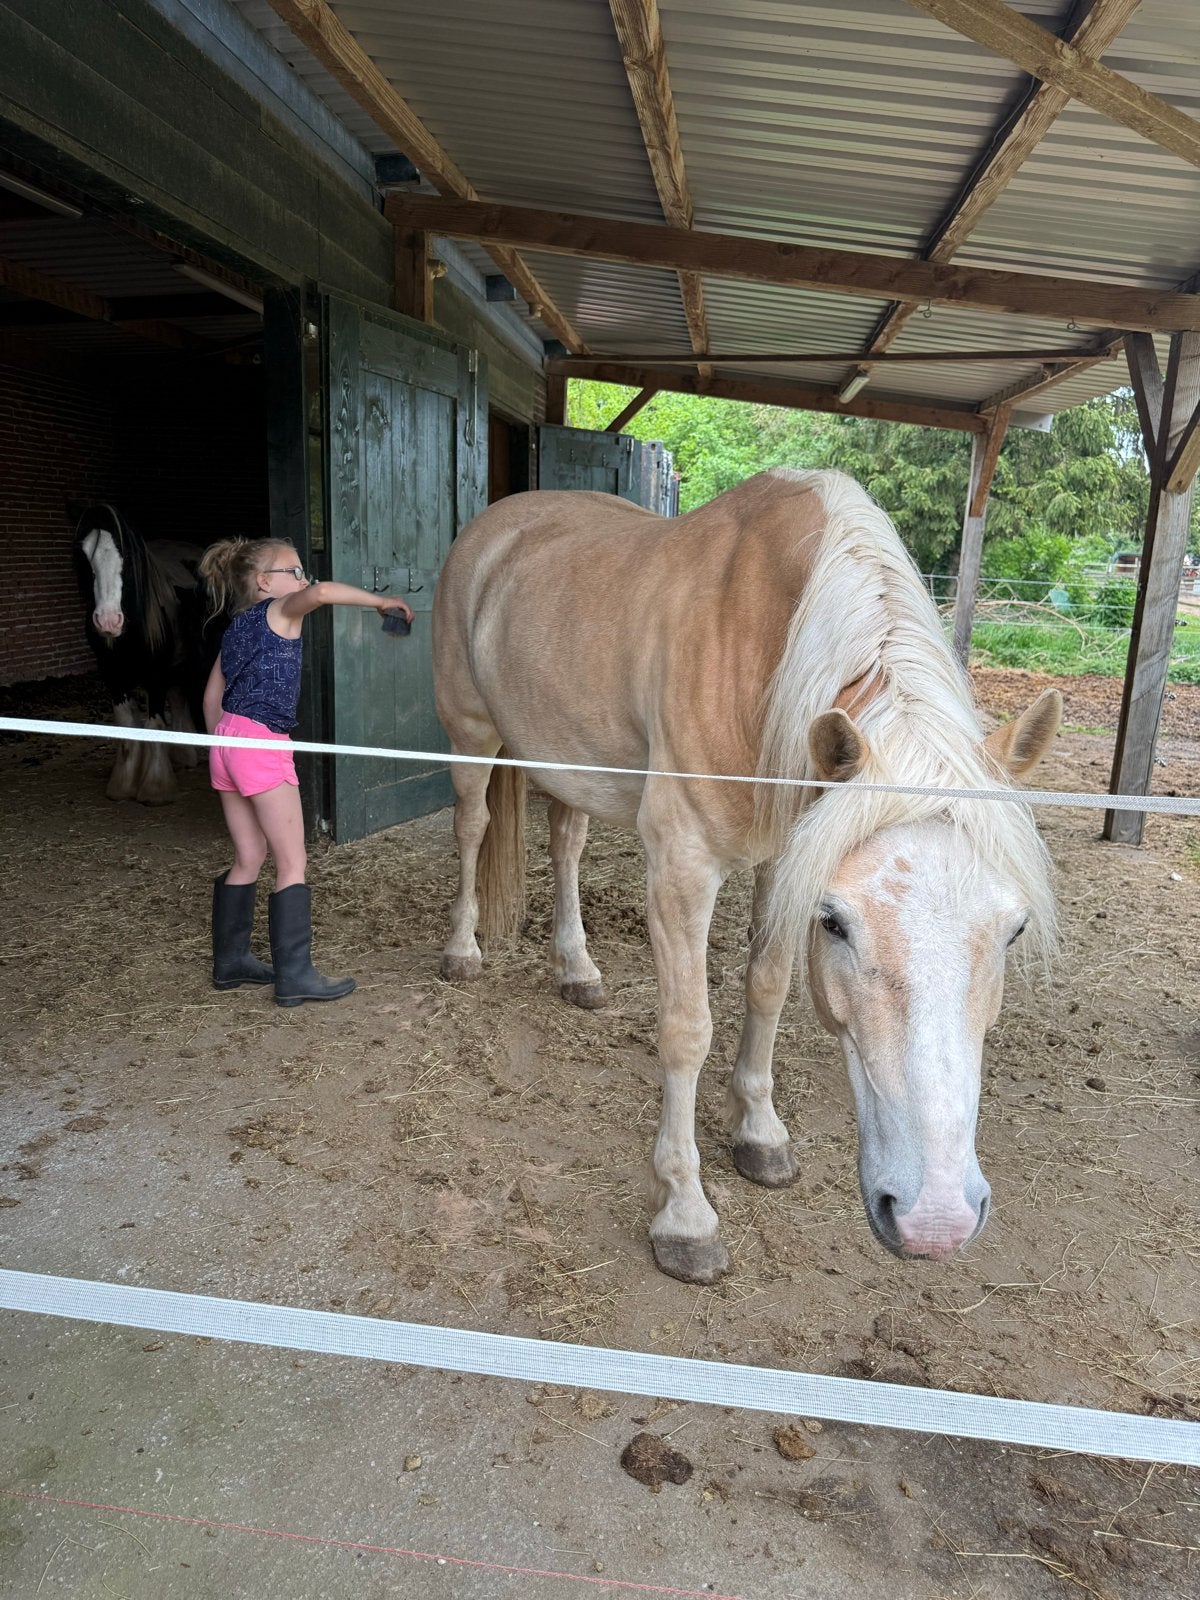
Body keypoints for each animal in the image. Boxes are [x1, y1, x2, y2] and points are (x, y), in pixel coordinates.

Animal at [72, 503, 217, 804]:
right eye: (83, 556)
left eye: (126, 557)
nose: (108, 621)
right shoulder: (112, 675)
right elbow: (126, 722)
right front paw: (123, 785)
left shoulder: (155, 675)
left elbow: (154, 725)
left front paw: (155, 788)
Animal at [432, 468, 1062, 1285]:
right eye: (837, 923)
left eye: (1013, 930)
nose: (936, 1220)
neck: (760, 644)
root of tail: (498, 524)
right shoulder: (683, 866)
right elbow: (686, 1029)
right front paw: (685, 1214)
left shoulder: (783, 857)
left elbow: (766, 987)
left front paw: (759, 1132)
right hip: (471, 736)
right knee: (472, 827)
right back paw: (463, 951)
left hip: (568, 763)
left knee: (565, 842)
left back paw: (577, 969)